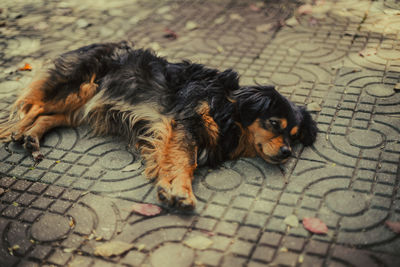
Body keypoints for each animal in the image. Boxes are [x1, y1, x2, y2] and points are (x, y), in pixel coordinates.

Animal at [0, 40, 318, 210]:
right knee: (34, 106)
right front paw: (180, 191)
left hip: (84, 105)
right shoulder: (184, 124)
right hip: (80, 88)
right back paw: (16, 130)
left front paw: (173, 187)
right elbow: (184, 160)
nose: (287, 152)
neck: (228, 108)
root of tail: (92, 44)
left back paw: (31, 137)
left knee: (48, 116)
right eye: (274, 123)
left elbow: (177, 160)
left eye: (294, 135)